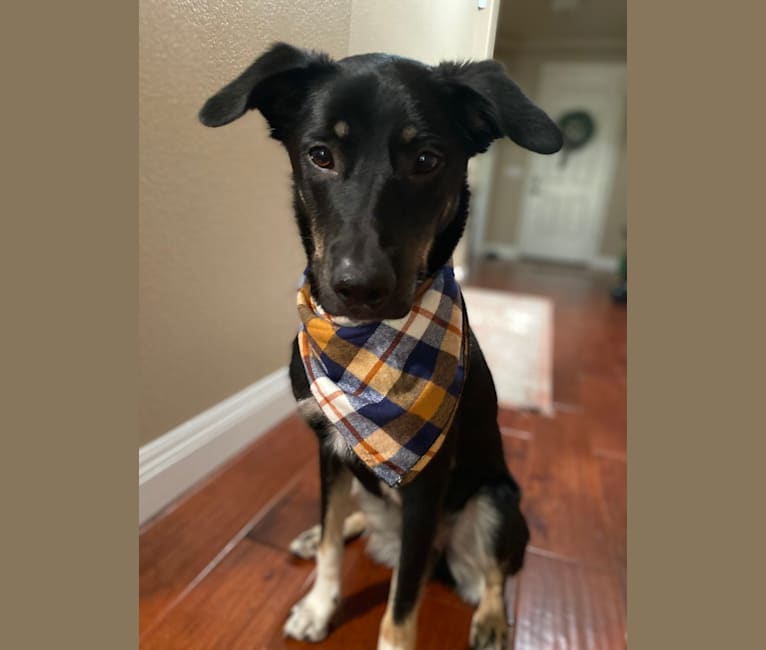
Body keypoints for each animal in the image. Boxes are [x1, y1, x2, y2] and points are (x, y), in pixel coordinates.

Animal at [201, 41, 564, 648]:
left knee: (497, 573)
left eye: (427, 160)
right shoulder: (327, 449)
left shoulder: (426, 486)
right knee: (346, 515)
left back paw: (492, 620)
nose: (358, 287)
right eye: (320, 154)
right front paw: (319, 605)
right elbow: (330, 542)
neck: (364, 347)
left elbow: (402, 605)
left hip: (496, 502)